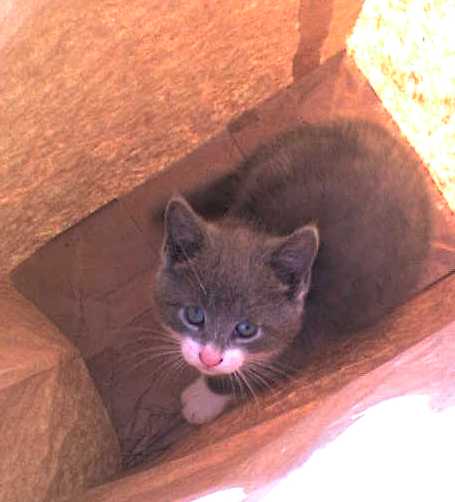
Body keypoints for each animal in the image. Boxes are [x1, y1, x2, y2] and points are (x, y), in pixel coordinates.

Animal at [153, 118, 432, 424]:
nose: (209, 358)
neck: (260, 227)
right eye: (194, 315)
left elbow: (253, 374)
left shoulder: (309, 335)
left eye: (246, 329)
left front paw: (203, 399)